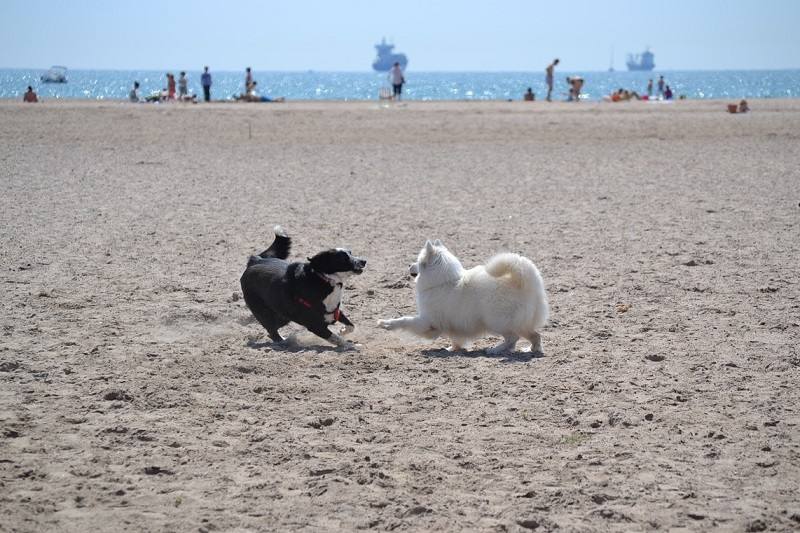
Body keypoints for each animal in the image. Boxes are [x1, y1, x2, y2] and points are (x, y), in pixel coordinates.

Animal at [239, 228, 368, 350]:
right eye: (343, 258)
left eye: (350, 253)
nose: (364, 261)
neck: (325, 280)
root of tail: (255, 260)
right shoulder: (315, 325)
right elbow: (336, 338)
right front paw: (352, 346)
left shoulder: (334, 311)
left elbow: (351, 326)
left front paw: (342, 331)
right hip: (264, 313)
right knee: (272, 331)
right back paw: (285, 342)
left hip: (284, 315)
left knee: (272, 331)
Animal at [378, 241, 548, 354]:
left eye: (419, 262)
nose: (408, 265)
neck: (443, 282)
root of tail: (525, 283)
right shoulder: (452, 326)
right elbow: (456, 339)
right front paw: (452, 349)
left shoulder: (429, 323)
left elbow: (405, 320)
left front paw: (386, 323)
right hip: (517, 323)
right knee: (534, 336)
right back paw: (531, 349)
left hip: (497, 321)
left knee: (514, 337)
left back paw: (495, 349)